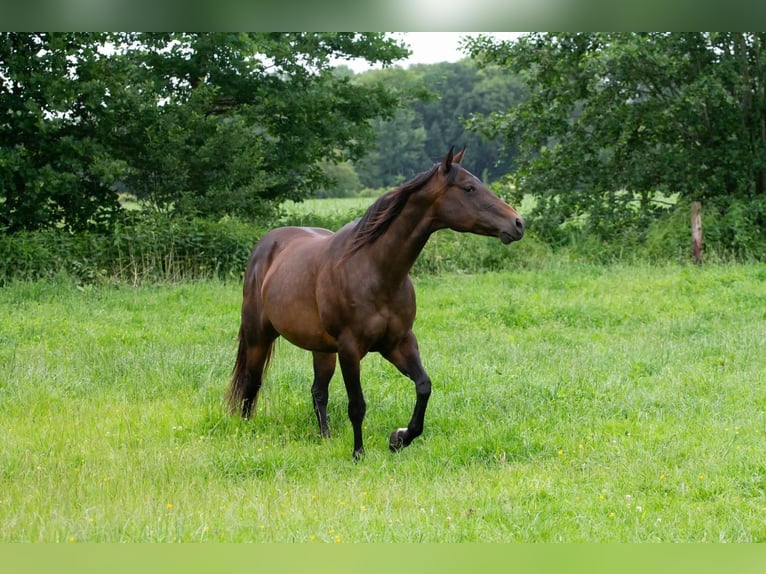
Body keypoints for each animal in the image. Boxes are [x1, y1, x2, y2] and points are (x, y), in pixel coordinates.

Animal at [228, 146, 524, 462]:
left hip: (322, 349)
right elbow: (357, 405)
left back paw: (325, 437)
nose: (518, 223)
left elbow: (424, 386)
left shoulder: (399, 342)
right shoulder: (350, 349)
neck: (375, 270)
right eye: (469, 188)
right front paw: (359, 453)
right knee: (251, 384)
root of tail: (265, 245)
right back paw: (245, 432)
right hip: (259, 337)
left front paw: (400, 438)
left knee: (318, 391)